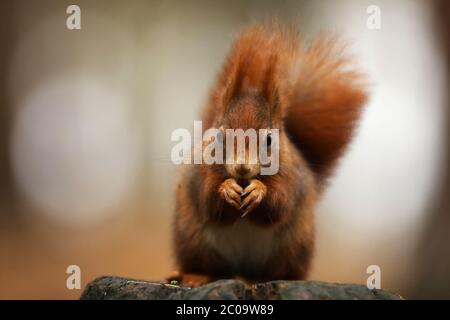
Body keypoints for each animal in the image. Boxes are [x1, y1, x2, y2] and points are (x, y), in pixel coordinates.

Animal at [171, 23, 368, 288]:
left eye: (269, 140)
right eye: (220, 137)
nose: (242, 168)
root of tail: (241, 270)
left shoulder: (290, 176)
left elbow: (279, 204)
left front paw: (258, 191)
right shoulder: (202, 171)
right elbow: (208, 200)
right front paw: (226, 189)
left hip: (294, 247)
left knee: (278, 271)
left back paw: (264, 279)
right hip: (193, 240)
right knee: (210, 267)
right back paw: (196, 276)